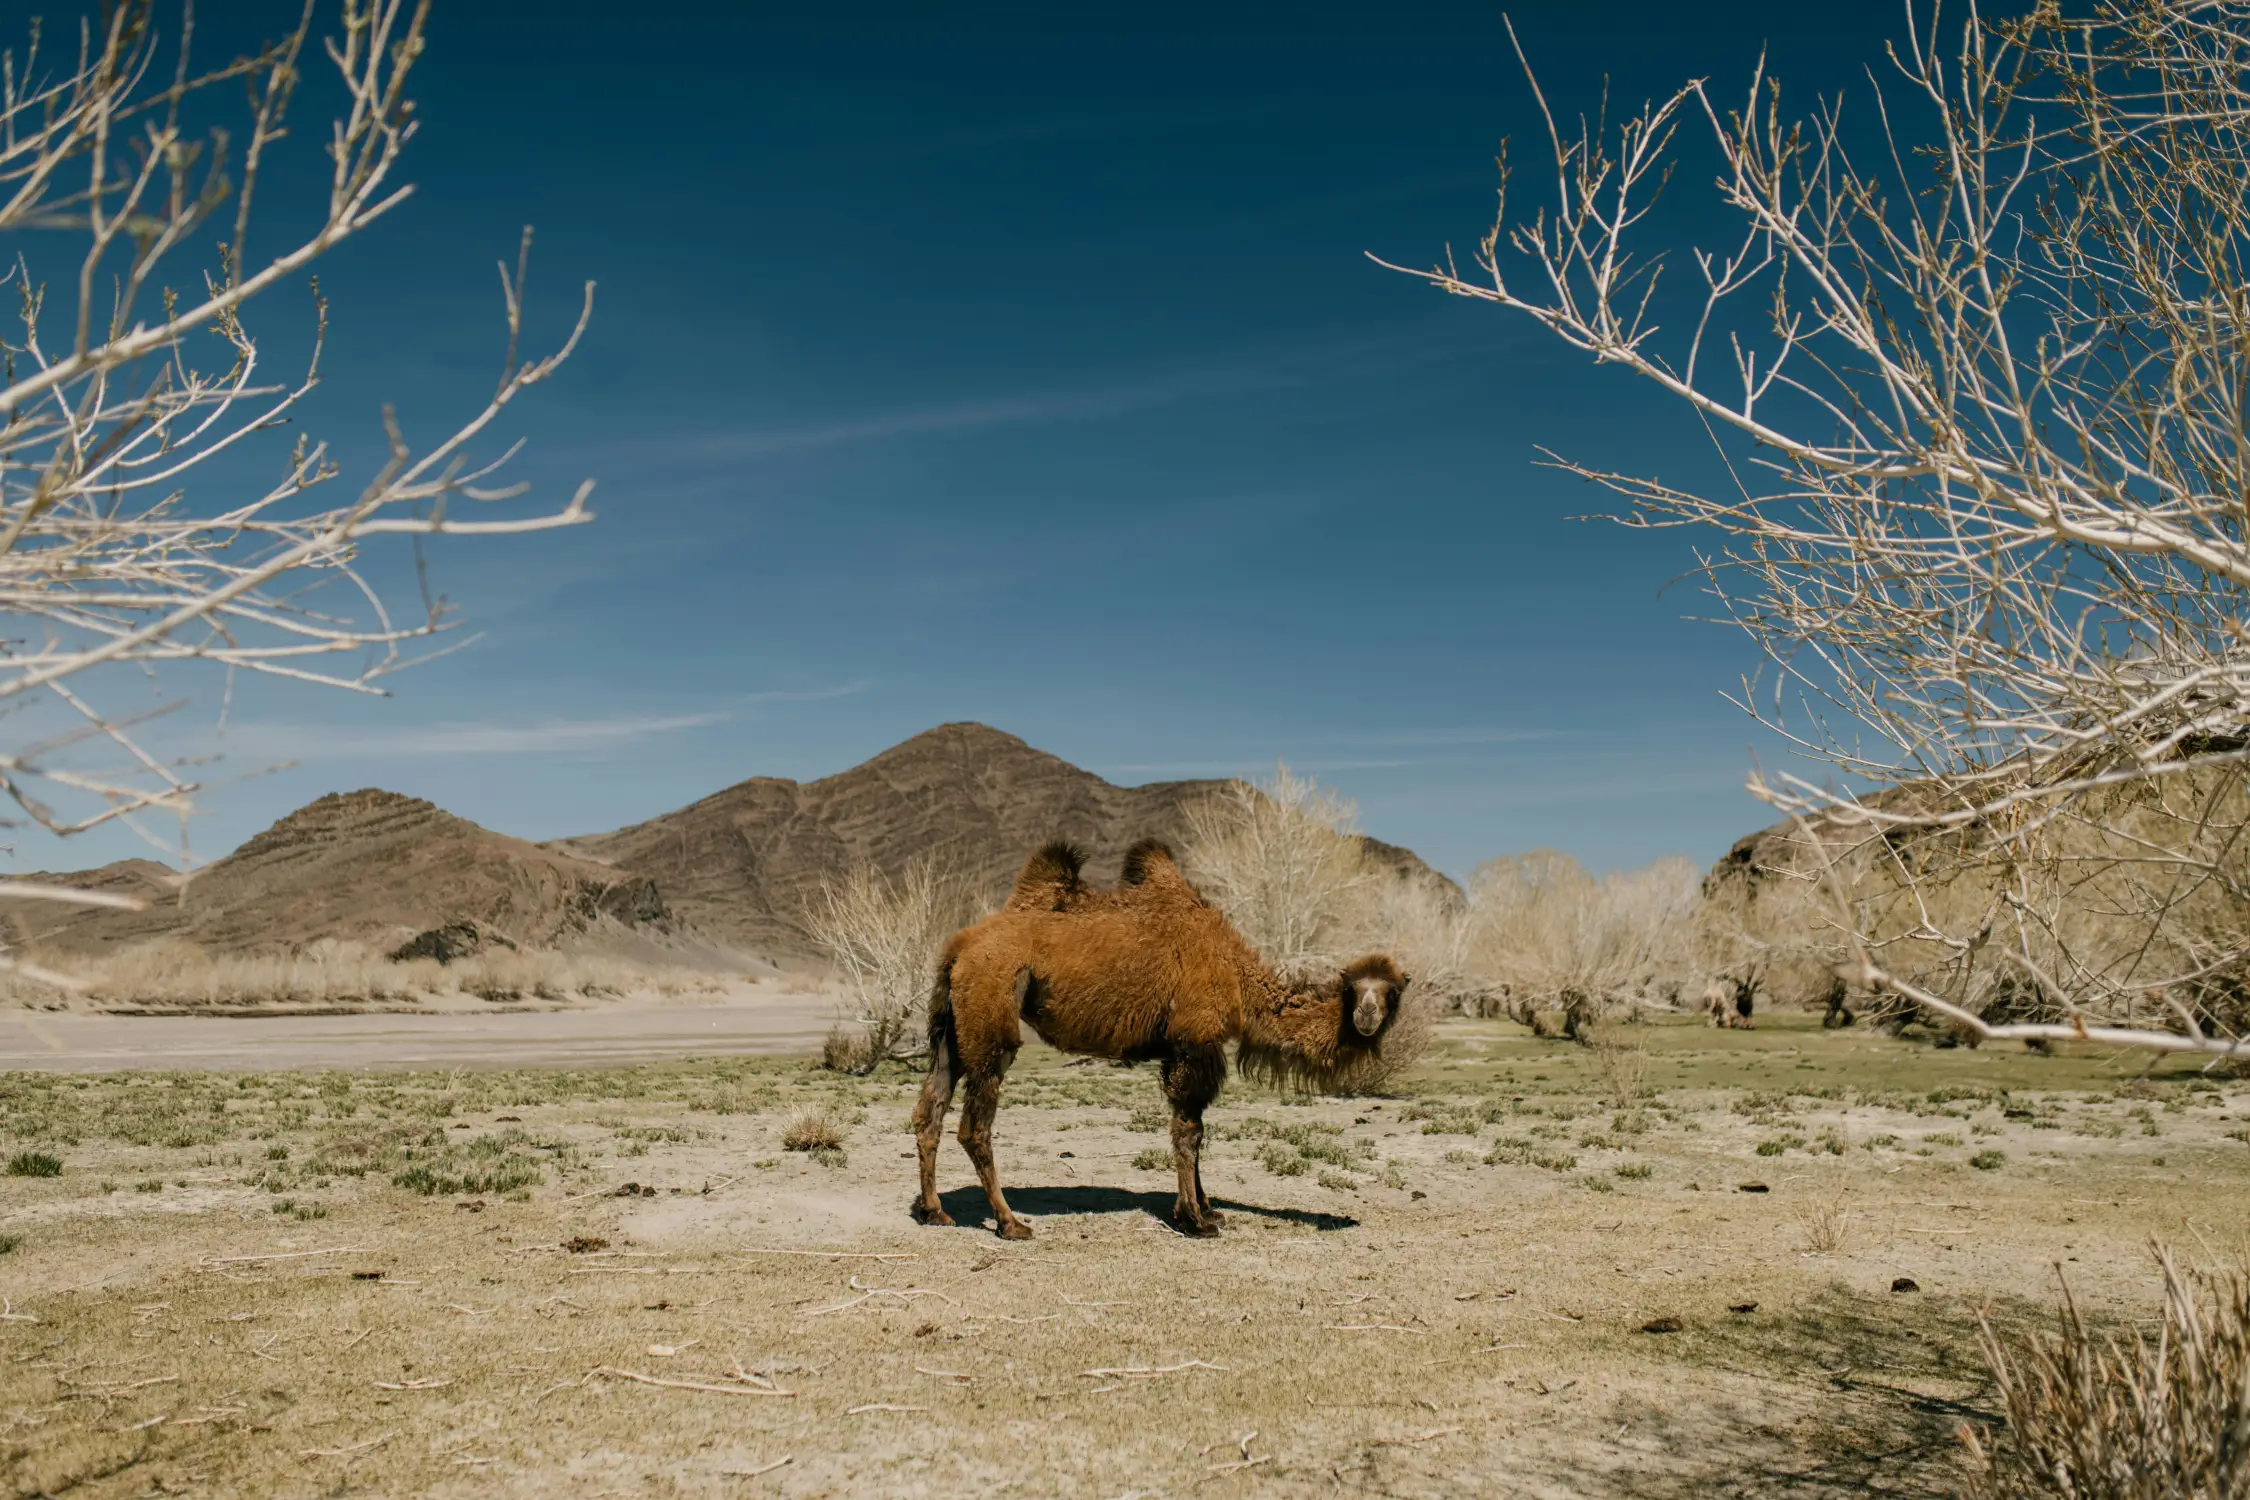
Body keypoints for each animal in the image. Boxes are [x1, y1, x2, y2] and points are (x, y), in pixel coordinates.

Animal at [913, 839, 1410, 1239]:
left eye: (1392, 991)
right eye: (1354, 989)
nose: (1367, 1014)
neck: (1237, 975)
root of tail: (957, 947)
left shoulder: (1182, 1048)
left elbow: (1194, 1128)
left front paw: (1207, 1209)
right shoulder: (1194, 1039)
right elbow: (1189, 1130)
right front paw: (1195, 1220)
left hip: (949, 1027)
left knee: (930, 1108)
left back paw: (935, 1212)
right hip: (991, 1013)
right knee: (975, 1126)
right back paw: (1010, 1222)